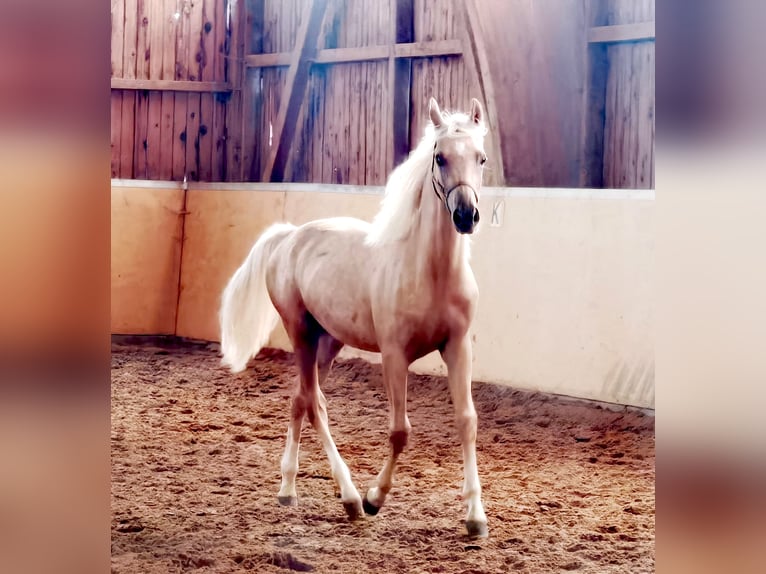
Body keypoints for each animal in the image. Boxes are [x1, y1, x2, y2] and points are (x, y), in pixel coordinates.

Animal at [219, 99, 488, 540]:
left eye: (481, 158)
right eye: (440, 157)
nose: (466, 215)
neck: (429, 272)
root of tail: (289, 237)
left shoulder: (458, 347)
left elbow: (467, 421)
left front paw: (476, 517)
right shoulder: (394, 355)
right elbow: (400, 431)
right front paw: (375, 498)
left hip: (329, 340)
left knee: (300, 399)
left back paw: (288, 490)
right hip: (300, 332)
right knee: (315, 403)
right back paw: (348, 497)